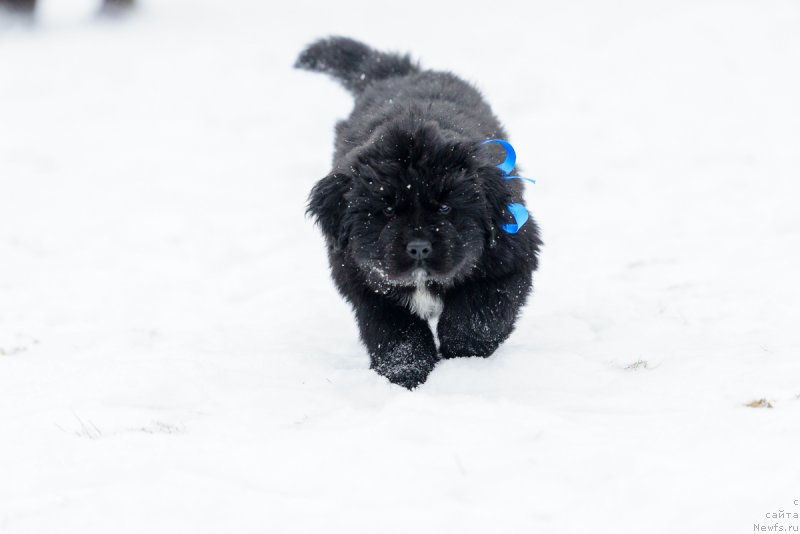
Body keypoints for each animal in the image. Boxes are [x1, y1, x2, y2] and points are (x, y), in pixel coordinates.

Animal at [296, 37, 540, 390]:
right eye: (386, 210)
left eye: (446, 207)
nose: (420, 247)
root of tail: (402, 74)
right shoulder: (364, 281)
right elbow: (397, 333)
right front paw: (406, 374)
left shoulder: (509, 254)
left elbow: (478, 314)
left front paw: (463, 357)